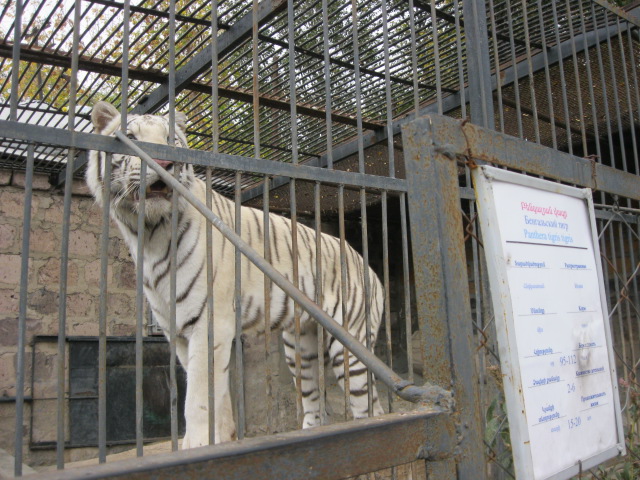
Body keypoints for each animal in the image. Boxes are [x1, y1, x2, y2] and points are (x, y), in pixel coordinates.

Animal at [86, 100, 385, 448]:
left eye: (171, 140)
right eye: (131, 137)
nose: (163, 161)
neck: (148, 234)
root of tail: (367, 264)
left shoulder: (209, 323)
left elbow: (198, 397)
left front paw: (197, 446)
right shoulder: (179, 331)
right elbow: (216, 395)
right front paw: (221, 439)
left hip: (349, 344)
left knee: (371, 406)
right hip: (300, 348)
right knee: (315, 405)